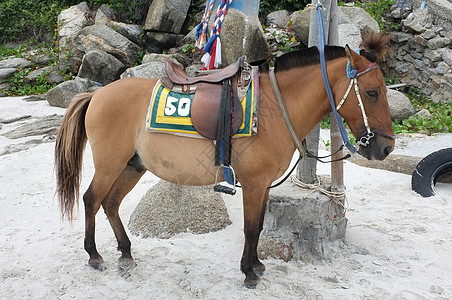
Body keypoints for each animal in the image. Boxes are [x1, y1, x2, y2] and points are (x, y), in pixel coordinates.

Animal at [55, 32, 396, 288]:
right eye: (372, 92)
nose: (386, 149)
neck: (275, 107)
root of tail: (97, 94)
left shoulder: (264, 184)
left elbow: (259, 226)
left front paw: (257, 264)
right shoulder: (254, 183)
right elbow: (250, 229)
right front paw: (248, 272)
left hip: (132, 166)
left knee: (111, 203)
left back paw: (125, 253)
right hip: (110, 164)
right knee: (91, 200)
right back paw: (94, 255)